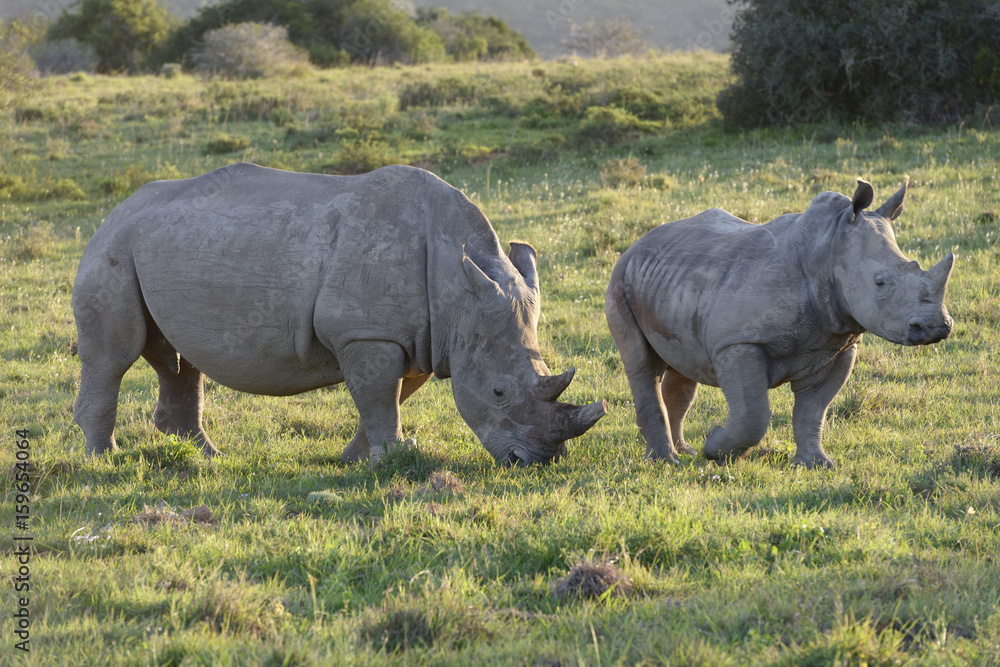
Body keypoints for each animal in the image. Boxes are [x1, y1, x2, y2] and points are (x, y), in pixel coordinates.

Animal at [72, 163, 607, 466]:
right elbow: (380, 397)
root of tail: (116, 209)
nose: (538, 461)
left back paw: (207, 458)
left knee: (179, 359)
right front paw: (391, 460)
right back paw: (104, 461)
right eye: (498, 392)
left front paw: (357, 460)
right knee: (113, 358)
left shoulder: (420, 336)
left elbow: (389, 396)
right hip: (113, 247)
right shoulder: (366, 331)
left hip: (168, 245)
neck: (458, 293)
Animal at [606, 178, 954, 468]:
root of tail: (639, 241)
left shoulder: (837, 344)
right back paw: (665, 461)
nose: (937, 327)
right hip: (620, 278)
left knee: (682, 367)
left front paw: (816, 465)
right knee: (641, 365)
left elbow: (813, 411)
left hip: (675, 277)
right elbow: (753, 414)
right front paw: (716, 448)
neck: (826, 250)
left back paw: (683, 451)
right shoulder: (738, 341)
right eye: (880, 283)